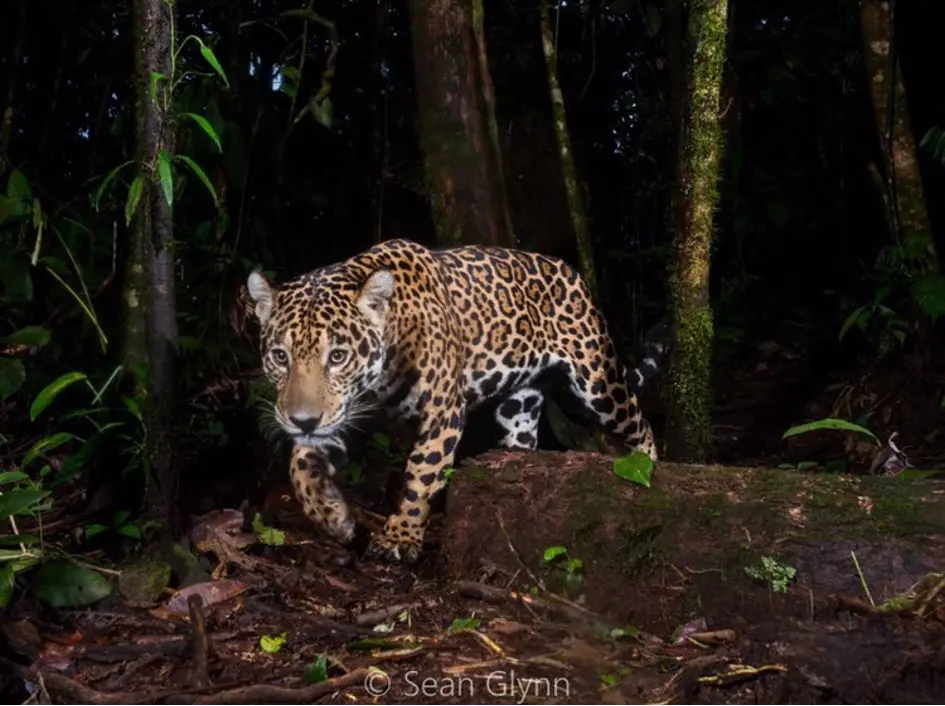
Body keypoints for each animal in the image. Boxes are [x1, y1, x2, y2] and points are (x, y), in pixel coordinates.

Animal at [245, 238, 667, 564]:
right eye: (280, 356)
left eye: (337, 356)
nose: (302, 420)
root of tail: (569, 271)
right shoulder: (343, 418)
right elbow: (300, 465)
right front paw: (334, 516)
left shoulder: (442, 414)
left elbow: (421, 474)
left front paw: (400, 538)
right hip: (519, 403)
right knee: (524, 435)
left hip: (596, 381)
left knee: (638, 420)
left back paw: (648, 466)